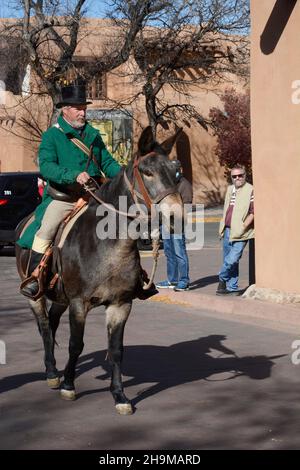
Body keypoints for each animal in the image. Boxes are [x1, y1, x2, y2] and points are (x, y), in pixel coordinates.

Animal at [14, 126, 183, 414]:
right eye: (147, 171)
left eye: (176, 171)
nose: (177, 216)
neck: (108, 245)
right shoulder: (79, 303)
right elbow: (76, 344)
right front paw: (68, 386)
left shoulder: (120, 304)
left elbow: (116, 350)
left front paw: (120, 396)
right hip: (35, 295)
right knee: (45, 326)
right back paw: (52, 373)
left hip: (60, 297)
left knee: (53, 322)